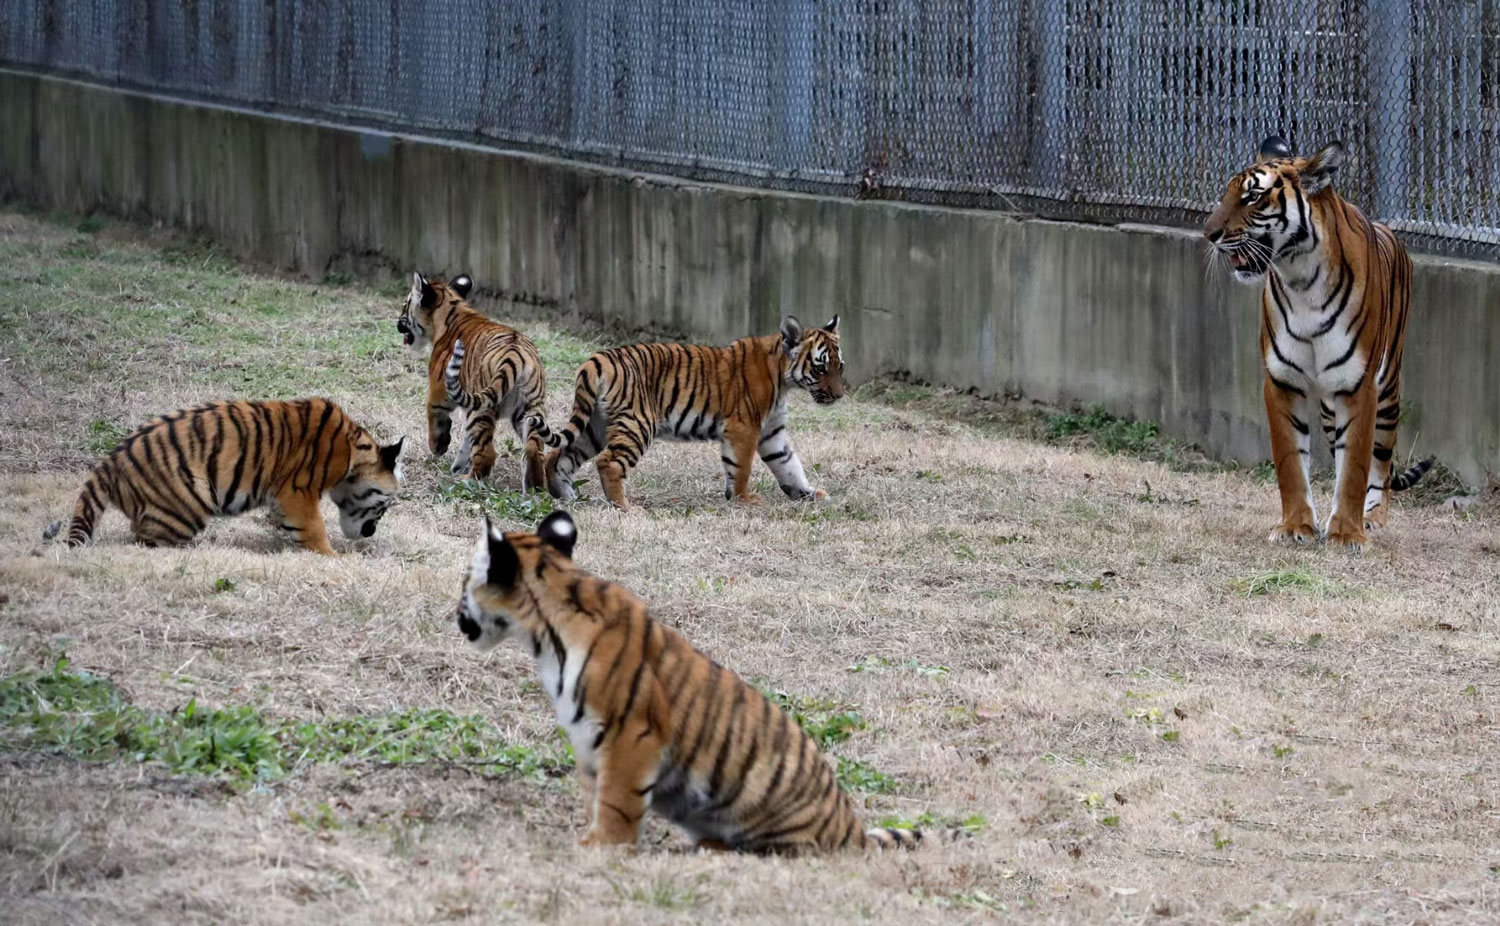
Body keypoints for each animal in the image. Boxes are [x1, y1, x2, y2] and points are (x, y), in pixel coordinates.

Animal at [43, 398, 404, 555]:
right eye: (384, 505)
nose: (370, 533)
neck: (354, 452)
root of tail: (109, 463)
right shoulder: (297, 490)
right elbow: (314, 530)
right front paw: (330, 558)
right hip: (186, 507)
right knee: (143, 538)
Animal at [398, 272, 548, 488]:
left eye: (405, 305)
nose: (397, 323)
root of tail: (515, 354)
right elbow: (466, 442)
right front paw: (457, 465)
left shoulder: (438, 393)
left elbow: (434, 418)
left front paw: (438, 448)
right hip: (530, 408)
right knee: (535, 448)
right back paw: (535, 486)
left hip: (482, 409)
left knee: (488, 452)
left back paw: (466, 480)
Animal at [454, 510, 921, 853]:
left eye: (465, 584)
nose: (455, 616)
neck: (545, 634)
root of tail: (851, 830)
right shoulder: (587, 741)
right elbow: (595, 795)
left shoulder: (633, 734)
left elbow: (616, 801)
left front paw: (602, 847)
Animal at [530, 316, 844, 509]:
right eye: (820, 368)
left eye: (839, 366)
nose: (840, 395)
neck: (783, 377)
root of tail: (597, 358)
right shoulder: (744, 427)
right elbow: (742, 467)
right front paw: (743, 499)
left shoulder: (772, 432)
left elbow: (789, 464)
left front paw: (808, 494)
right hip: (637, 424)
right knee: (608, 462)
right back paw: (625, 507)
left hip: (594, 425)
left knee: (559, 455)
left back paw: (565, 496)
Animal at [1204, 135, 1431, 550]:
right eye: (1227, 194)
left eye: (1252, 196)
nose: (1208, 234)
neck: (1301, 279)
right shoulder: (1281, 381)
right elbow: (1291, 463)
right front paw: (1296, 526)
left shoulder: (1359, 386)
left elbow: (1356, 466)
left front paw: (1347, 533)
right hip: (1329, 406)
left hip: (1388, 391)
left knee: (1380, 462)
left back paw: (1372, 518)